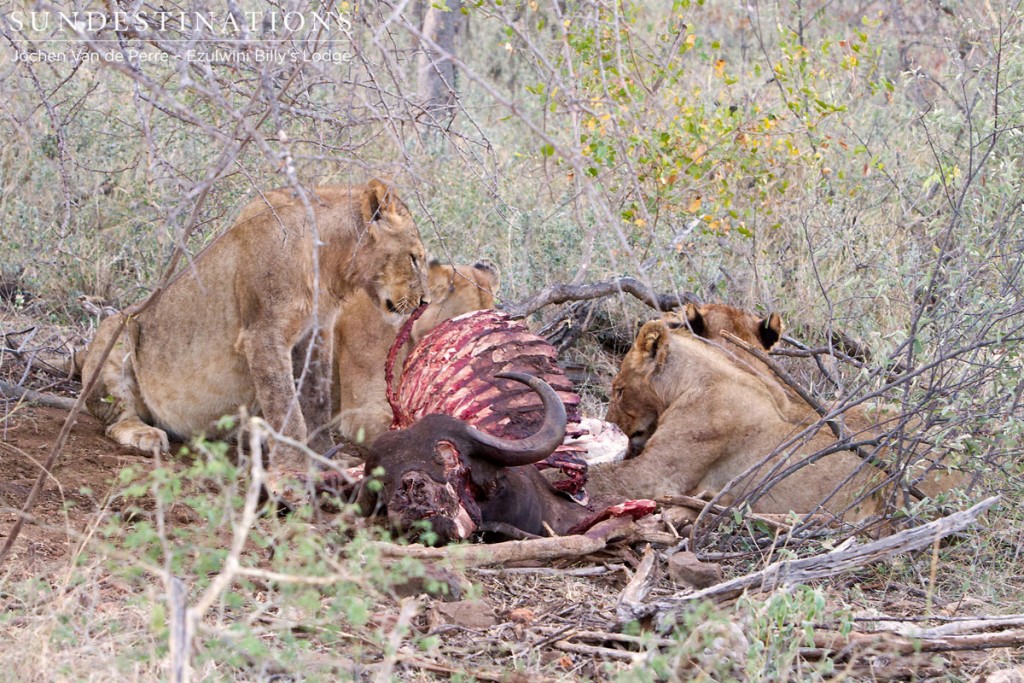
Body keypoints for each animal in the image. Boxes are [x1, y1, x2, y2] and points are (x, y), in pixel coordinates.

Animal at [79, 179, 428, 499]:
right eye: (414, 257)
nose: (423, 301)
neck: (330, 263)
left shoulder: (316, 333)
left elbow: (316, 401)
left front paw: (324, 458)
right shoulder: (263, 333)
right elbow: (286, 408)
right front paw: (291, 473)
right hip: (118, 329)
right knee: (116, 417)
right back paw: (144, 433)